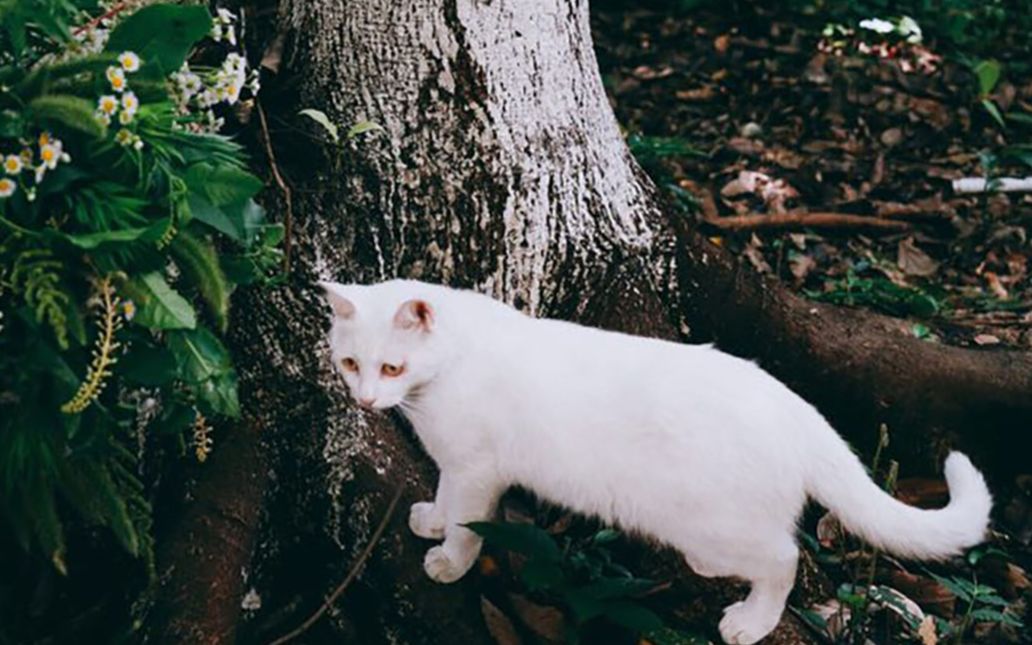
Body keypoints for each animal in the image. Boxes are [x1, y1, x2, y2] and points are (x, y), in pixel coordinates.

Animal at [319, 278, 990, 643]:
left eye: (392, 367)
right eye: (351, 363)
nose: (365, 399)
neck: (438, 379)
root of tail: (794, 406)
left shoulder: (479, 469)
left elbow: (466, 523)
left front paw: (448, 560)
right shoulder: (457, 465)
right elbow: (445, 498)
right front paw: (430, 518)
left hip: (711, 523)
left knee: (784, 557)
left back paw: (751, 622)